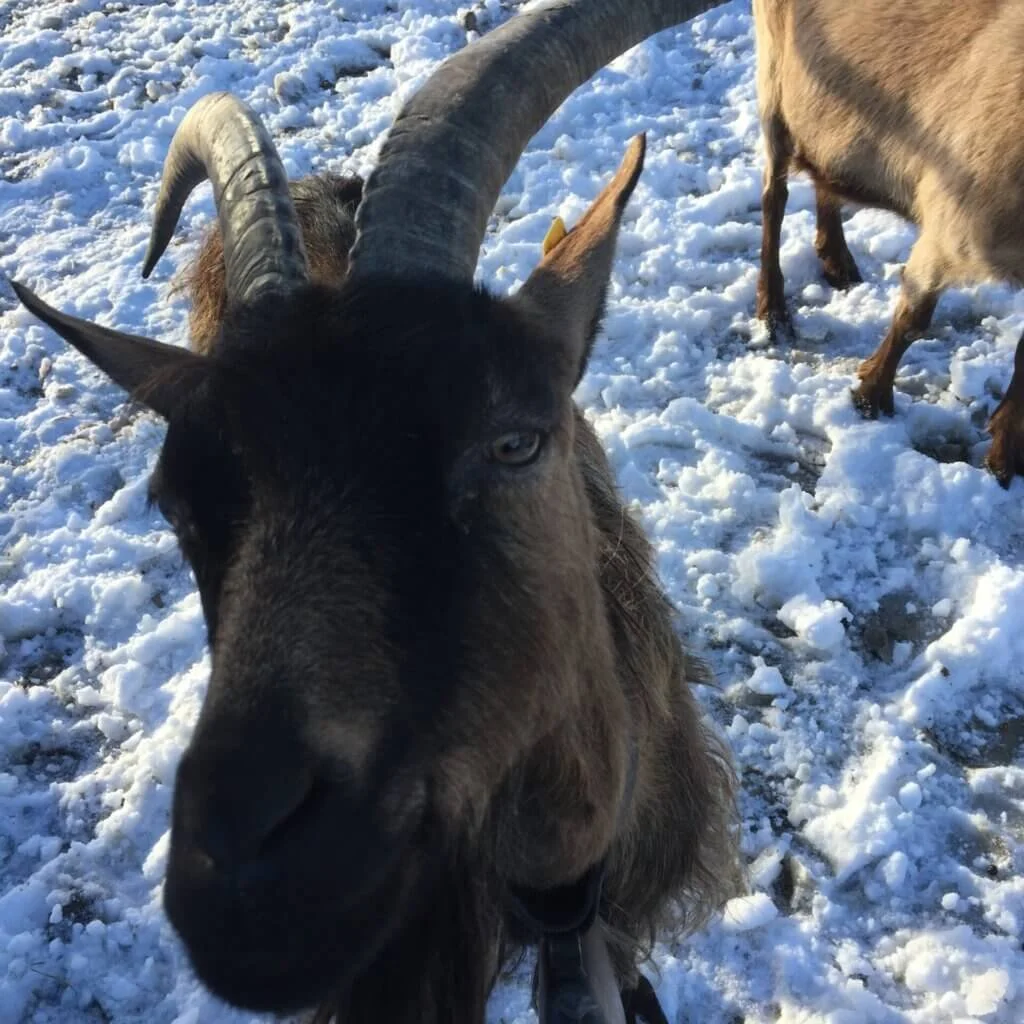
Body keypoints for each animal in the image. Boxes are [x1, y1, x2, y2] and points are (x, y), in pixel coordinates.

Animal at [752, 0, 1024, 486]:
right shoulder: (947, 227)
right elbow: (912, 320)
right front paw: (870, 395)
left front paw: (1005, 453)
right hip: (776, 79)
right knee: (773, 197)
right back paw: (773, 311)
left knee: (825, 174)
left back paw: (837, 260)